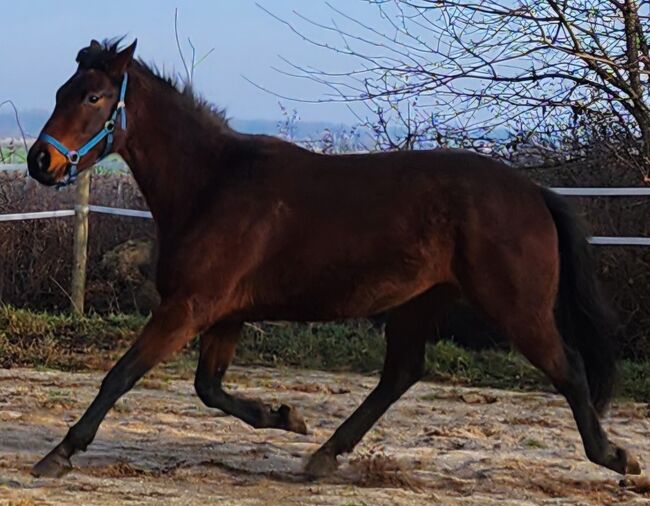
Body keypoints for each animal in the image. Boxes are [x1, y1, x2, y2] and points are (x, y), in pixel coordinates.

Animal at [24, 39, 636, 482]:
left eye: (93, 97)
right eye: (60, 90)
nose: (39, 161)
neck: (212, 184)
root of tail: (534, 193)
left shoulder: (188, 308)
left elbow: (121, 375)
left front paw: (58, 454)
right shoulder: (224, 315)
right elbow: (208, 388)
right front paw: (286, 417)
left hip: (516, 308)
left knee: (569, 368)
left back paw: (615, 458)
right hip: (417, 303)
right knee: (401, 374)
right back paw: (323, 454)